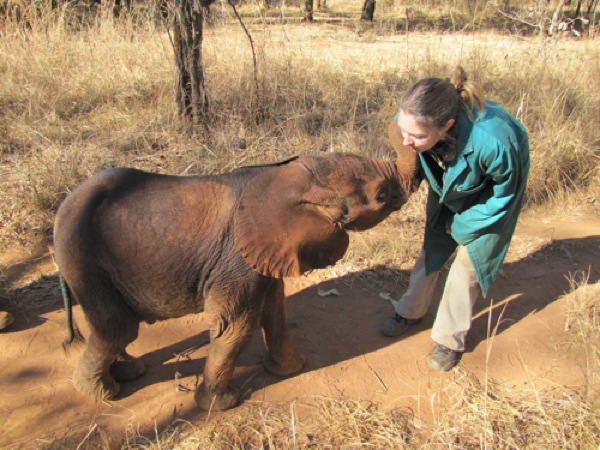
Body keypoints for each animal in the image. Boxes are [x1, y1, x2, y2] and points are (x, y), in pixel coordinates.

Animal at [54, 152, 414, 412]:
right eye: (382, 195)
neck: (287, 175)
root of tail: (61, 210)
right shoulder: (235, 258)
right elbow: (235, 326)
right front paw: (224, 405)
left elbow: (275, 311)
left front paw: (291, 369)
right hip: (84, 259)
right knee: (118, 328)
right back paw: (104, 393)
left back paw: (128, 373)